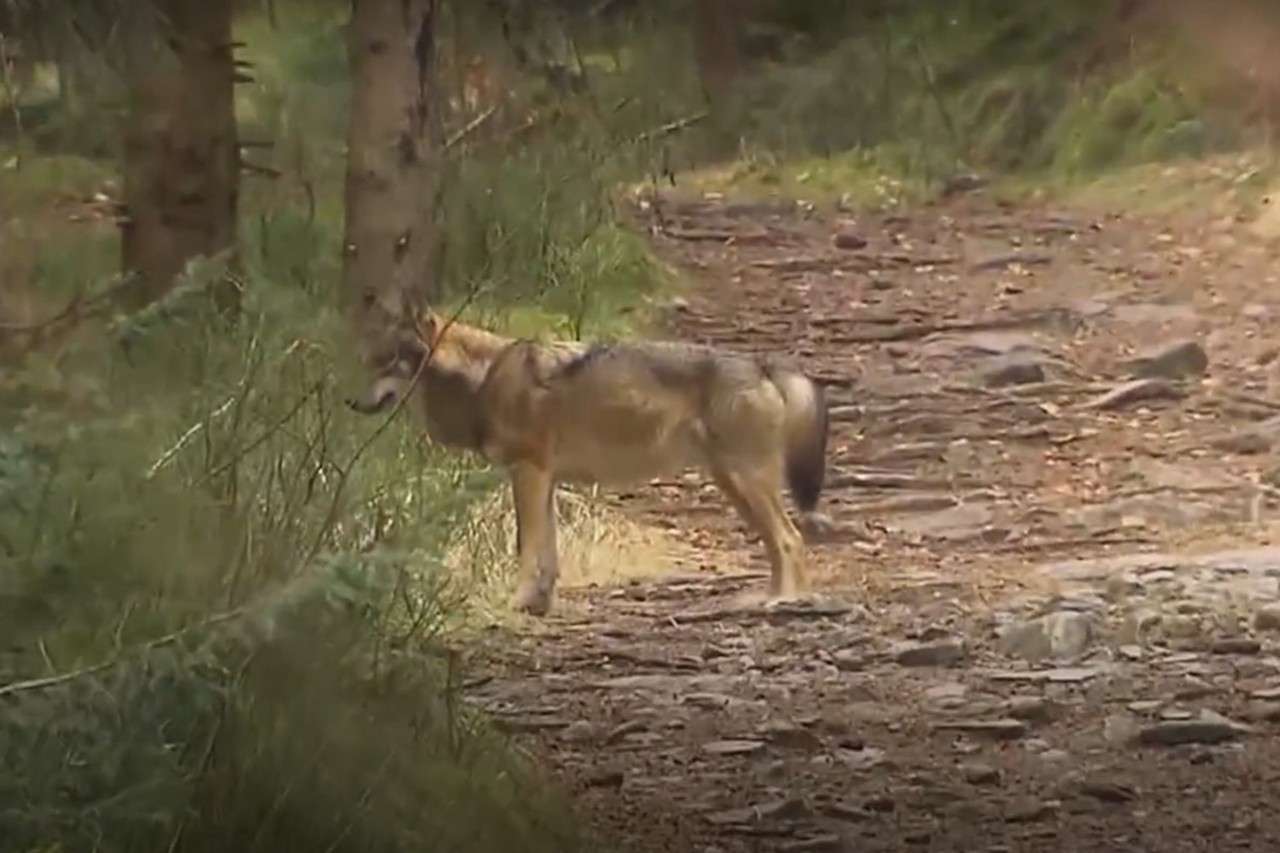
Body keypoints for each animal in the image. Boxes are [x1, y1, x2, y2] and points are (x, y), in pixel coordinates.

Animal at [347, 306, 830, 617]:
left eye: (389, 363)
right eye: (371, 361)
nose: (351, 401)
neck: (484, 378)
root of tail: (763, 363)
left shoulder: (528, 472)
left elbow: (526, 548)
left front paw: (515, 601)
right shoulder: (545, 479)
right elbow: (548, 554)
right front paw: (538, 604)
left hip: (746, 482)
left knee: (790, 540)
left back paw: (784, 603)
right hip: (733, 485)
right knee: (778, 544)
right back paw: (764, 600)